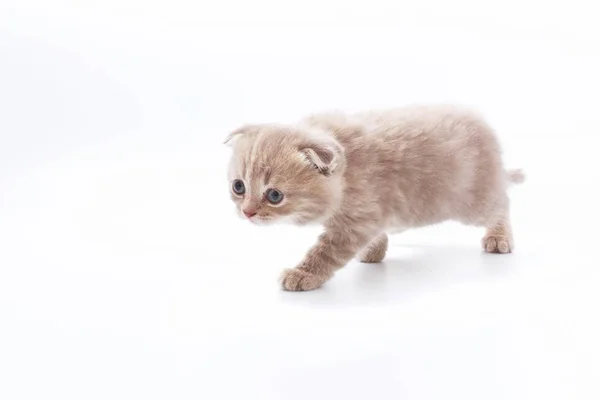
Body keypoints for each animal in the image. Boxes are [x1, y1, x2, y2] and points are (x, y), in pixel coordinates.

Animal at [225, 106, 524, 290]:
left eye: (274, 195)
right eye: (238, 187)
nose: (247, 212)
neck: (346, 175)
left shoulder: (354, 223)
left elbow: (324, 252)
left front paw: (303, 274)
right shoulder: (372, 213)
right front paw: (373, 250)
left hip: (473, 201)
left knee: (502, 201)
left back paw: (499, 238)